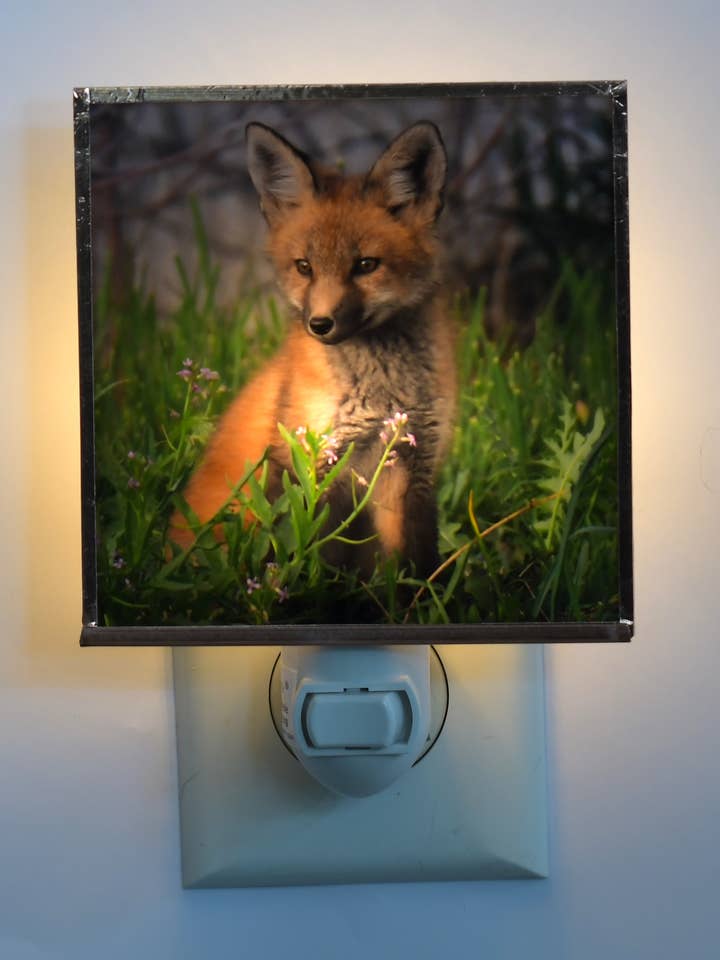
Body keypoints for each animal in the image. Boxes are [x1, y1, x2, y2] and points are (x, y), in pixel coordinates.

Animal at [169, 120, 457, 580]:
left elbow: (414, 569)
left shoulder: (414, 466)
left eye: (366, 265)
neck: (382, 393)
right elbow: (295, 558)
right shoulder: (304, 462)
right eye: (304, 267)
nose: (319, 325)